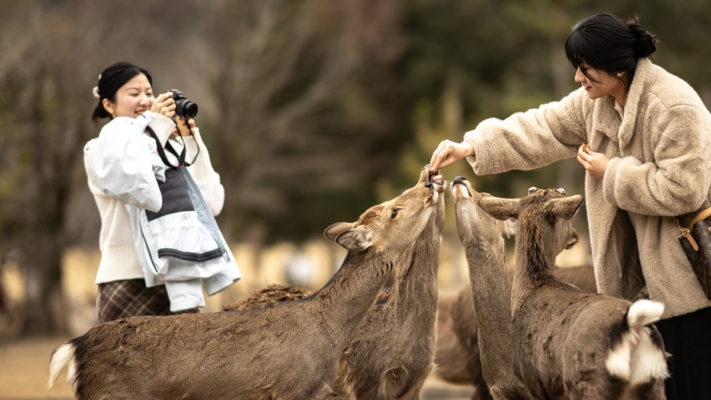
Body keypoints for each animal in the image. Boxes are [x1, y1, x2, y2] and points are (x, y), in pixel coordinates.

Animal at [47, 166, 444, 400]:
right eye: (394, 210)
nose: (429, 181)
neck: (327, 332)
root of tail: (76, 347)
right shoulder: (290, 389)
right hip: (112, 395)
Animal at [476, 188, 672, 400]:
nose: (575, 235)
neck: (530, 289)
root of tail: (633, 327)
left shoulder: (534, 382)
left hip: (588, 381)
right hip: (654, 384)